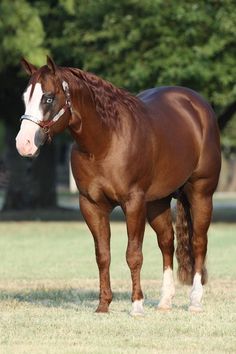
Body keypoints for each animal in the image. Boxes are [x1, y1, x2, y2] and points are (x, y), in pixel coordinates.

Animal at [15, 58, 220, 316]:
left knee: (198, 242)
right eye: (25, 97)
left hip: (201, 193)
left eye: (49, 98)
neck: (105, 141)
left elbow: (134, 254)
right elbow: (102, 255)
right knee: (166, 242)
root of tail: (196, 104)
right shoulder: (91, 205)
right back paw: (165, 301)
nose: (24, 144)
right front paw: (103, 305)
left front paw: (137, 305)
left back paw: (194, 301)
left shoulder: (133, 203)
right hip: (157, 203)